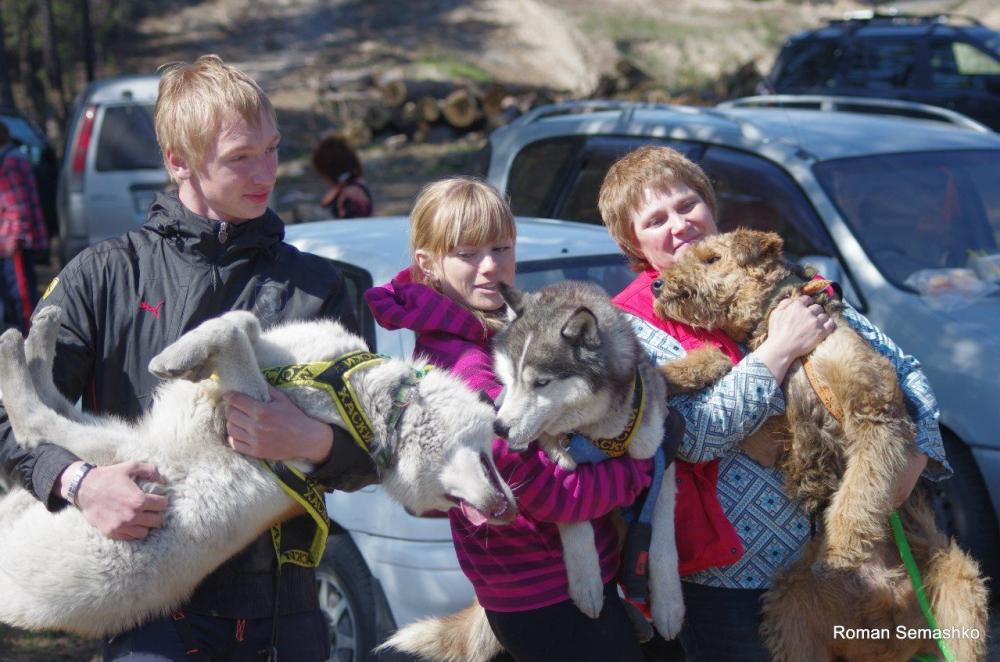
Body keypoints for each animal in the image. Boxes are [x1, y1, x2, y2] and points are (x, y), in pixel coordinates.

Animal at [652, 230, 988, 662]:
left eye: (711, 258)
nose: (657, 284)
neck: (776, 311)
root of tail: (886, 621)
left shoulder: (873, 414)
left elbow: (860, 489)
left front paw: (842, 548)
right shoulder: (779, 438)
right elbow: (725, 363)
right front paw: (669, 373)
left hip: (960, 590)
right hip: (789, 608)